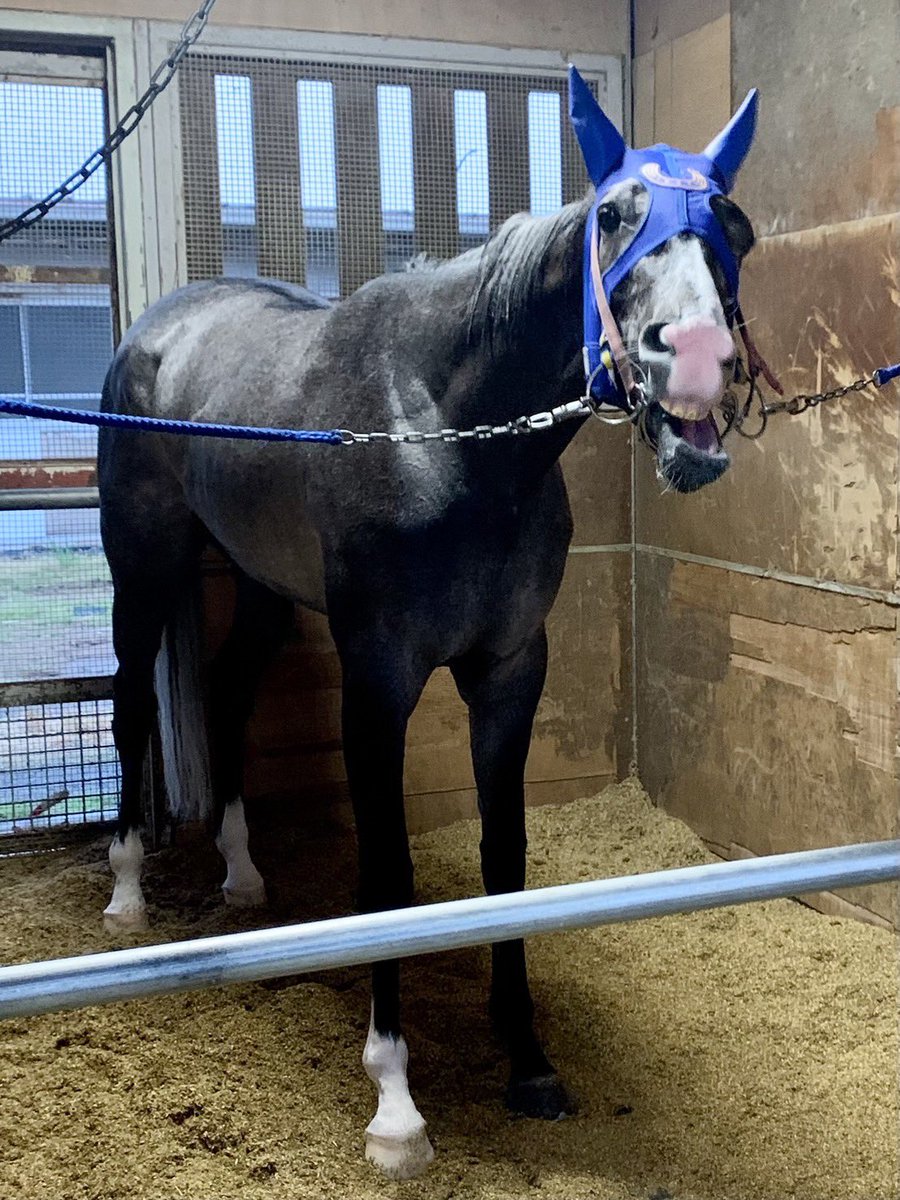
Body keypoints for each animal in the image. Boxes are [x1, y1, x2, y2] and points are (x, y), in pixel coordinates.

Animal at [97, 68, 759, 1179]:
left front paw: (528, 1061)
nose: (699, 363)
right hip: (142, 572)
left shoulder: (510, 668)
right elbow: (388, 872)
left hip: (262, 586)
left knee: (226, 691)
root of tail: (159, 331)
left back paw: (243, 876)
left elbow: (505, 860)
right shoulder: (380, 677)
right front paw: (397, 1103)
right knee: (128, 706)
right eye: (616, 215)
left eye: (737, 231)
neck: (449, 432)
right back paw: (128, 895)